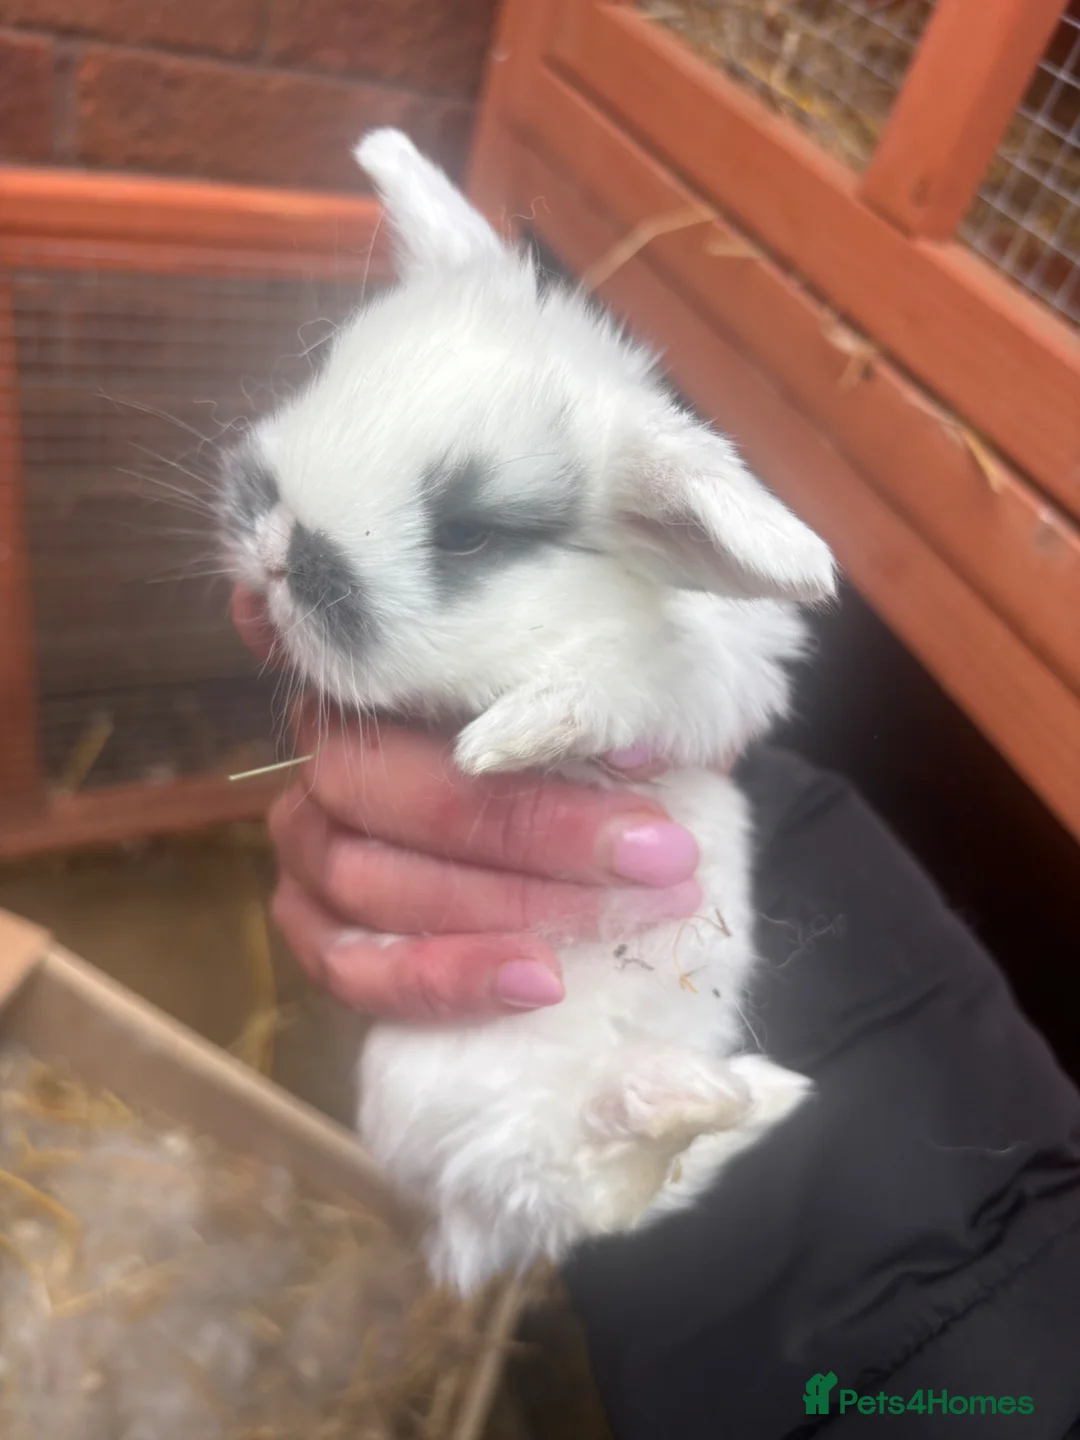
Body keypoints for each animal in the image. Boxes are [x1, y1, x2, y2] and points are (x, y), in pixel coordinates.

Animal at [218, 128, 837, 1296]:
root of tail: (471, 1234)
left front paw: (514, 736)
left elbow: (634, 678)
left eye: (468, 532)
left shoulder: (719, 673)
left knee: (599, 1186)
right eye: (330, 376)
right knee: (590, 1184)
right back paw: (713, 1095)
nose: (278, 548)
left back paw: (718, 1093)